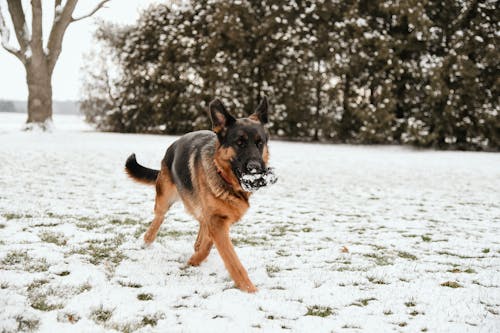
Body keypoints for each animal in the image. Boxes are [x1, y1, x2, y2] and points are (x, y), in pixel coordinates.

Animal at [127, 96, 272, 290]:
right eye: (239, 143)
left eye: (259, 143)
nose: (255, 169)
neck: (224, 177)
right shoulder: (217, 222)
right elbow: (233, 261)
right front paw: (250, 290)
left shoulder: (217, 220)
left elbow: (208, 244)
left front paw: (195, 258)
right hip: (164, 198)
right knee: (158, 218)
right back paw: (147, 240)